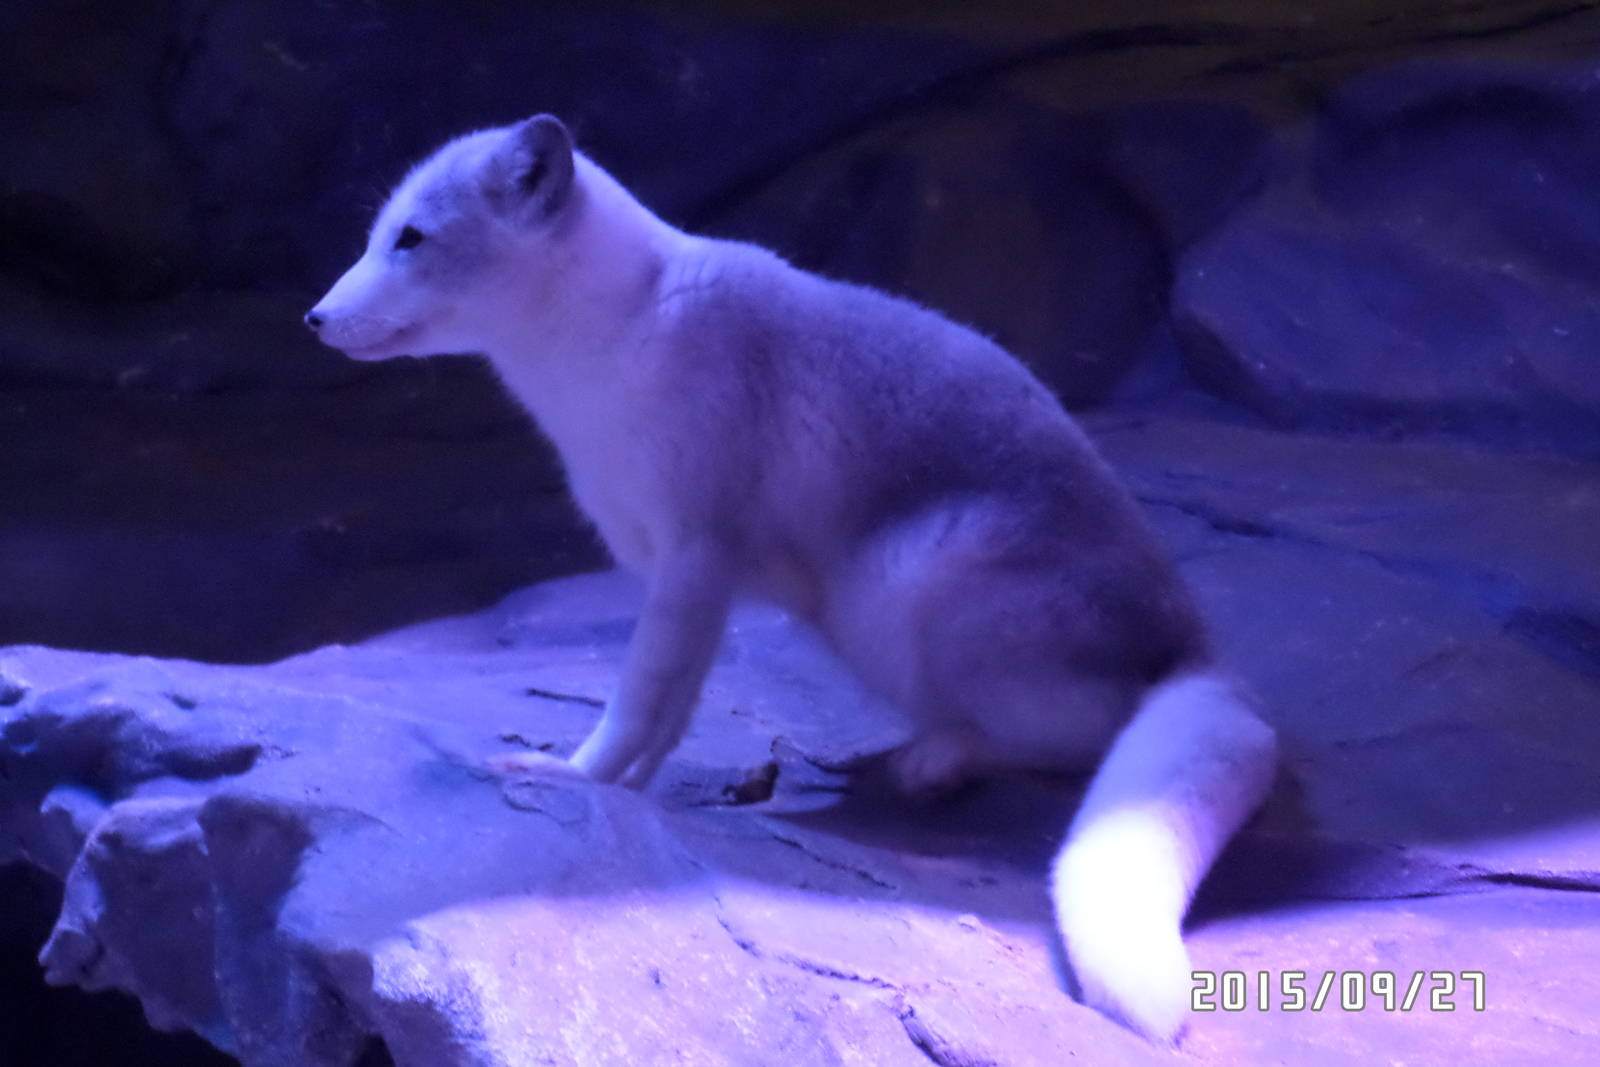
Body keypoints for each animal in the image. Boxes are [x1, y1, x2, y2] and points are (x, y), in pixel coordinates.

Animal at [306, 114, 1277, 1044]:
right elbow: (672, 710)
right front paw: (632, 789)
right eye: (377, 235)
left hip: (911, 590)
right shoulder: (696, 578)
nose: (314, 319)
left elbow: (637, 697)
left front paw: (574, 778)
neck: (619, 332)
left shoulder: (696, 552)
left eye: (412, 239)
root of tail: (1194, 647)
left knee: (1080, 735)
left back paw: (938, 759)